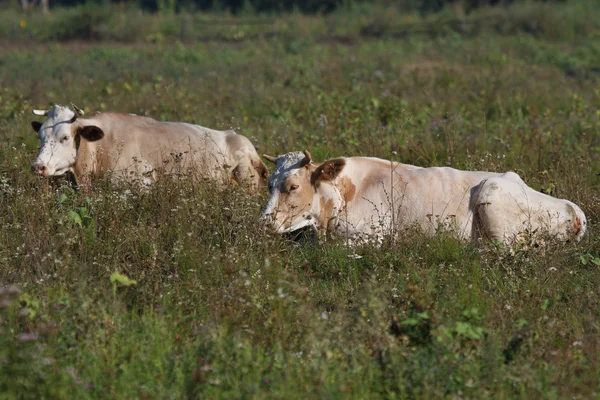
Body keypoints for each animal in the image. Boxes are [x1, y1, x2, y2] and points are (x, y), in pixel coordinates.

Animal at [258, 150, 584, 244]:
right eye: (269, 184)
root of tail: (575, 210)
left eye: (292, 186)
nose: (263, 223)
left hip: (494, 203)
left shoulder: (370, 238)